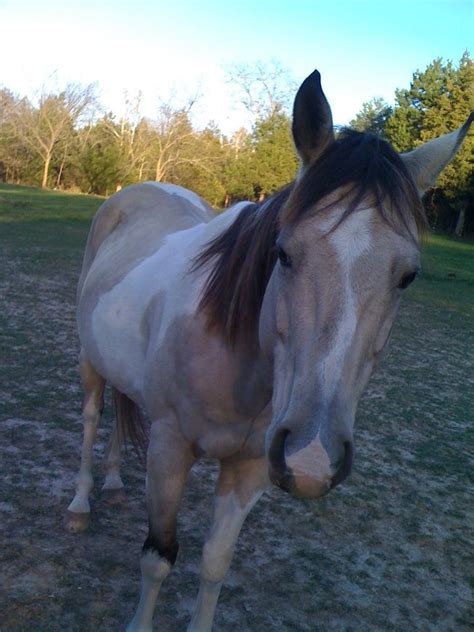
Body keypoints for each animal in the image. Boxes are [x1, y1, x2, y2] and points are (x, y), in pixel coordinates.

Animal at [65, 70, 472, 632]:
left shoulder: (252, 467)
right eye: (283, 253)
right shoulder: (169, 451)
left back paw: (110, 482)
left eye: (408, 276)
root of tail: (138, 189)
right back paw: (82, 501)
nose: (312, 457)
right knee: (91, 418)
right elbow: (158, 558)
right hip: (89, 363)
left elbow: (214, 564)